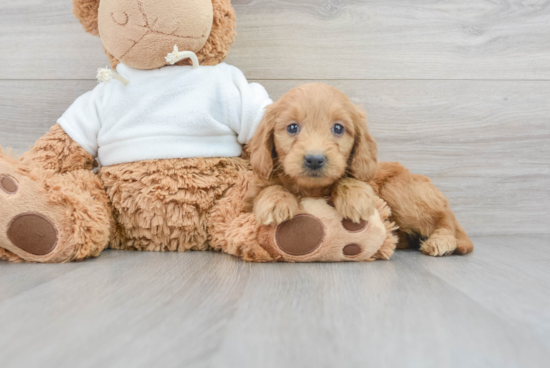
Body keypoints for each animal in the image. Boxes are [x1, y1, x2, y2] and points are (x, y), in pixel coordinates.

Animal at [247, 83, 380, 226]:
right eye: (292, 127)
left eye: (338, 128)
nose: (315, 160)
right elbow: (268, 188)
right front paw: (275, 201)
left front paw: (356, 195)